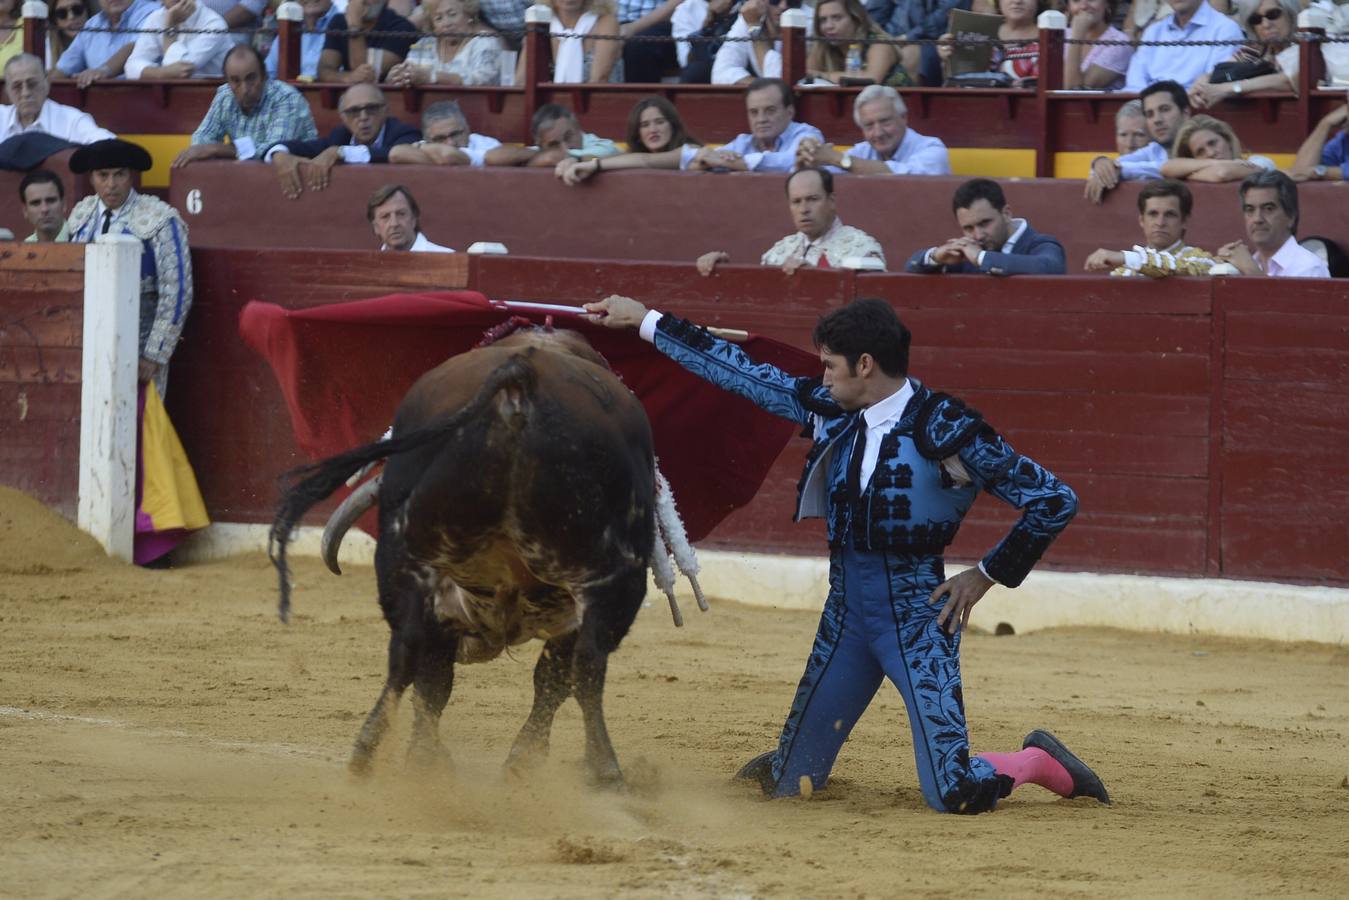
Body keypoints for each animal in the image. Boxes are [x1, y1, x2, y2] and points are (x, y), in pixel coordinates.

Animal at [267, 325, 690, 788]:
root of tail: (521, 377)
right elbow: (545, 680)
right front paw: (520, 759)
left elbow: (452, 679)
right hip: (603, 577)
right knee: (585, 666)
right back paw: (604, 771)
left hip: (411, 560)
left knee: (409, 652)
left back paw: (382, 753)